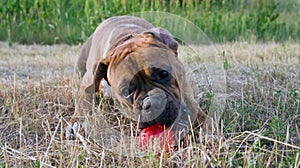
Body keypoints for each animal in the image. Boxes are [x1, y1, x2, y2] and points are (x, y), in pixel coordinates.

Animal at [65, 15, 211, 144]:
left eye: (164, 73)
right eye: (126, 91)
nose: (151, 104)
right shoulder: (88, 81)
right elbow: (83, 101)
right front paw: (76, 122)